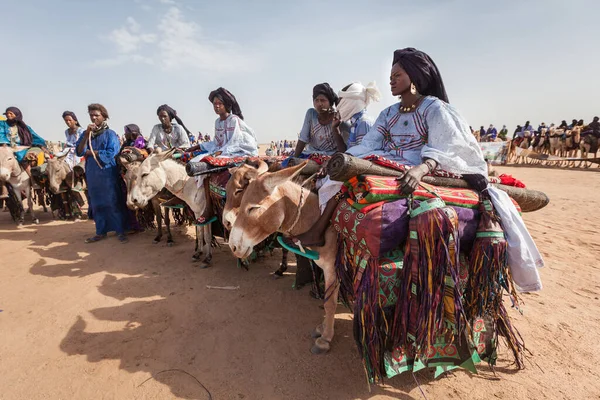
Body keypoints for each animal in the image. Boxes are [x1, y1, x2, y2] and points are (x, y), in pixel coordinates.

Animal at [229, 162, 340, 354]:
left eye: (252, 208)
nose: (232, 246)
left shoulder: (333, 268)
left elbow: (330, 303)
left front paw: (325, 339)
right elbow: (328, 300)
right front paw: (323, 328)